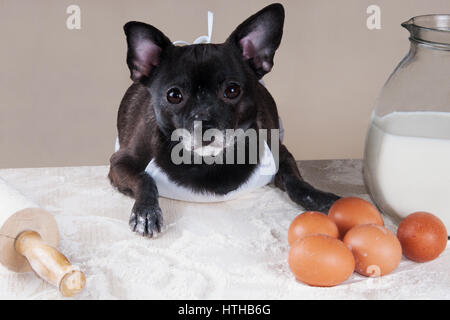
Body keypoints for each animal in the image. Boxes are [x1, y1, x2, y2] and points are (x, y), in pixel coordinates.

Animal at [109, 3, 340, 238]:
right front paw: (146, 212)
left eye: (232, 90)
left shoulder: (282, 154)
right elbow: (144, 178)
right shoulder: (120, 163)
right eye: (173, 95)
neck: (208, 161)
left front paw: (321, 199)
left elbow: (297, 182)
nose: (204, 123)